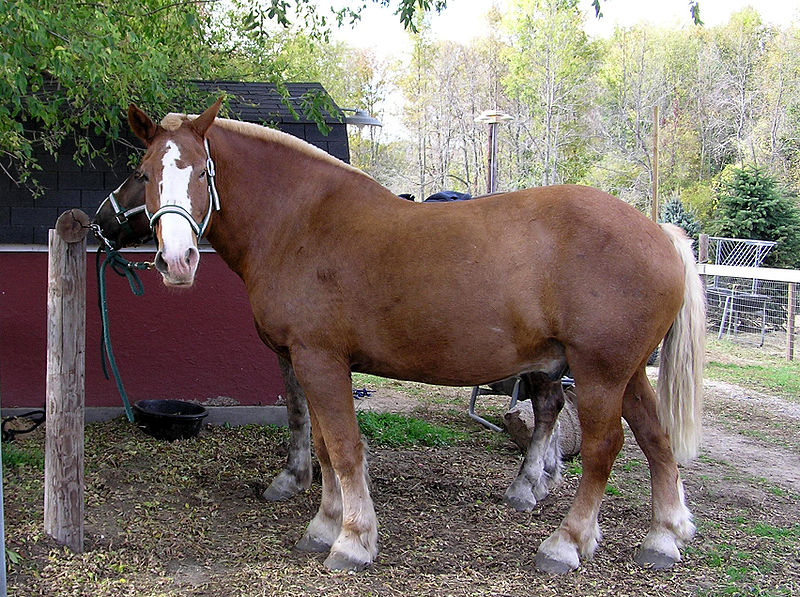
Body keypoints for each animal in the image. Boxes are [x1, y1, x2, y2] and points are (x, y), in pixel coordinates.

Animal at [126, 99, 708, 572]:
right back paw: (663, 536)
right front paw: (324, 525)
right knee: (656, 439)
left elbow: (343, 448)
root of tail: (661, 232)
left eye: (199, 171)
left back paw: (565, 543)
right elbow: (320, 442)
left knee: (603, 449)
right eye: (147, 171)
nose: (176, 261)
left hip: (599, 373)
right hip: (626, 374)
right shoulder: (305, 361)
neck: (299, 222)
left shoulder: (319, 359)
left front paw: (352, 540)